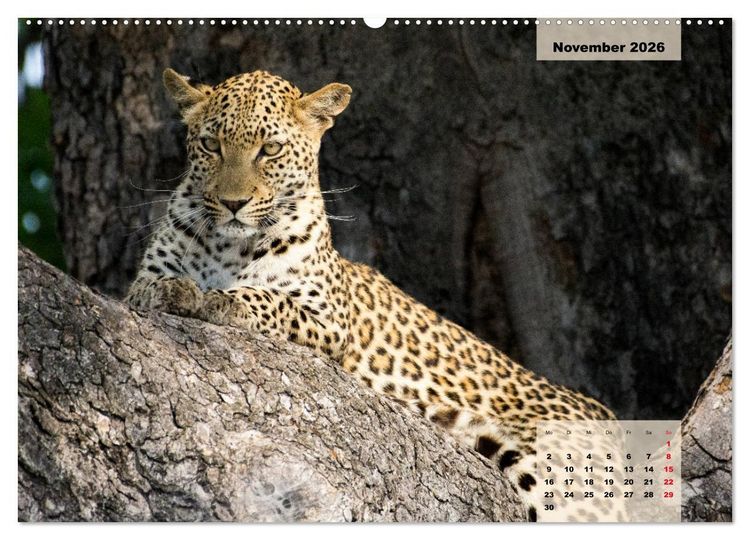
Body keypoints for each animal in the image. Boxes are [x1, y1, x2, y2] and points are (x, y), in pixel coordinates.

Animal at [127, 68, 619, 522]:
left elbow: (270, 301)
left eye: (270, 149)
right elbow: (153, 287)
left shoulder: (328, 321)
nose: (233, 204)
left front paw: (223, 299)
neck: (229, 246)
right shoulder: (141, 281)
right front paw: (178, 291)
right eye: (211, 145)